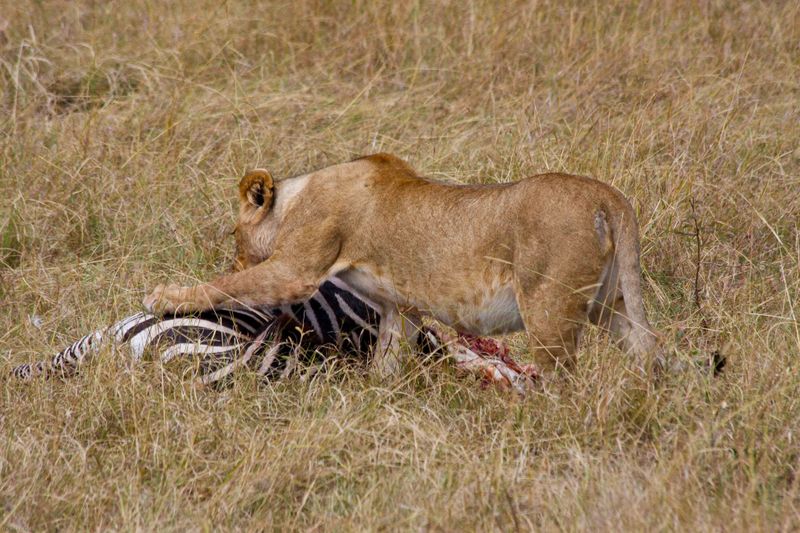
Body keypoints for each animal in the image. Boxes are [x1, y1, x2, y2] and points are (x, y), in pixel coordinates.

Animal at [144, 153, 661, 377]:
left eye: (234, 236)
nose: (230, 253)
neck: (297, 196)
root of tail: (609, 197)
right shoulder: (401, 308)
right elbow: (387, 358)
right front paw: (374, 398)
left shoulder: (296, 269)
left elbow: (227, 285)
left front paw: (165, 297)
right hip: (612, 306)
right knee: (647, 353)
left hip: (548, 308)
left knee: (565, 380)